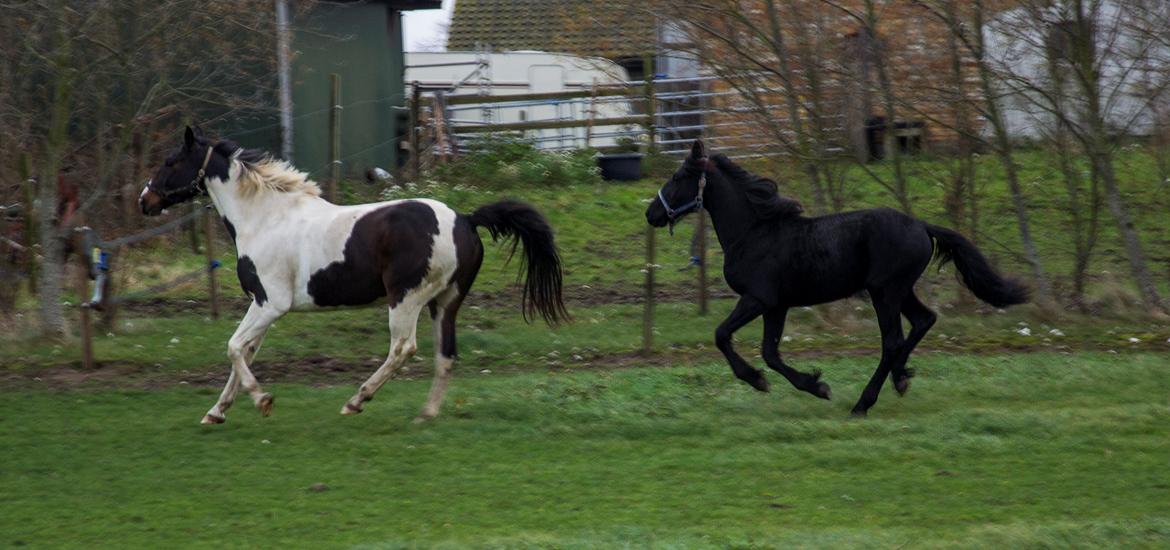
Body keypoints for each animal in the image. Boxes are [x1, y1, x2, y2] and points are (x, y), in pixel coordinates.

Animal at [141, 126, 566, 423]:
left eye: (170, 162)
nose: (145, 200)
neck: (264, 218)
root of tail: (465, 219)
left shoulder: (269, 304)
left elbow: (233, 348)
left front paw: (263, 400)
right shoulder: (260, 307)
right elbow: (242, 352)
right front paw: (216, 412)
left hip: (406, 298)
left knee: (403, 348)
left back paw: (356, 401)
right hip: (446, 302)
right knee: (445, 355)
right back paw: (425, 414)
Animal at [645, 141, 1029, 416]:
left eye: (678, 177)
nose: (651, 213)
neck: (754, 233)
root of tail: (921, 225)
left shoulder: (758, 299)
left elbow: (722, 335)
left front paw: (764, 382)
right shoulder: (777, 306)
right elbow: (770, 352)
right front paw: (813, 384)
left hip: (884, 291)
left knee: (892, 341)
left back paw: (864, 403)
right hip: (899, 290)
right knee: (923, 321)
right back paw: (901, 378)